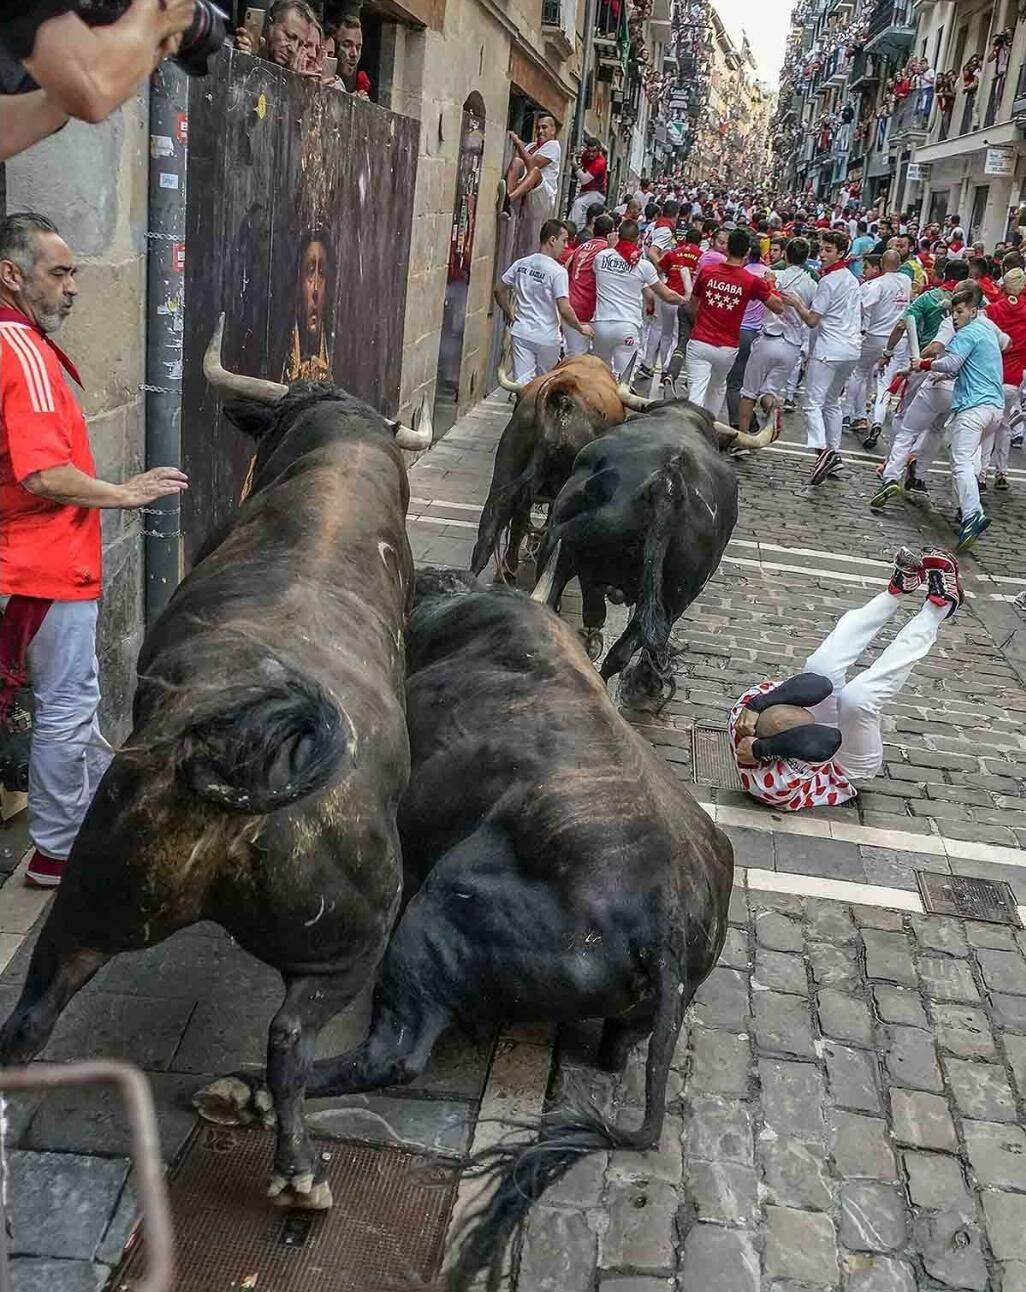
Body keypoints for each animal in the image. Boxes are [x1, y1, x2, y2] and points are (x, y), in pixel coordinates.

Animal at [0, 377, 429, 1209]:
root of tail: (245, 750)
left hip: (94, 896)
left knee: (34, 1014)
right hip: (354, 940)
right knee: (290, 1039)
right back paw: (298, 1170)